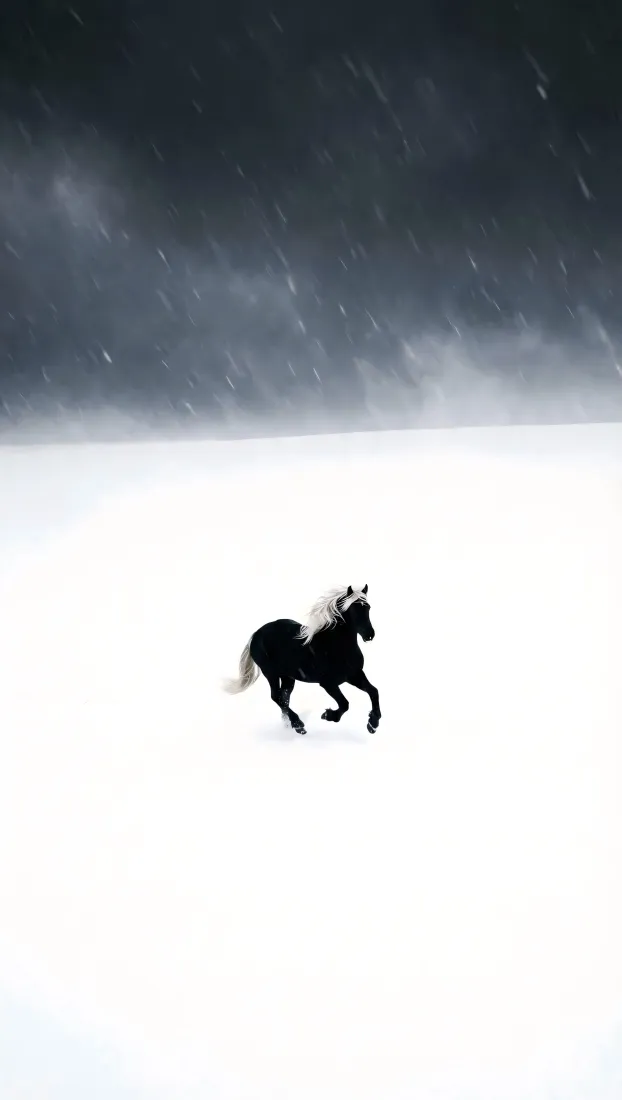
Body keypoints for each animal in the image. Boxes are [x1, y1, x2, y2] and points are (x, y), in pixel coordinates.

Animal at [224, 584, 381, 735]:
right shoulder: (328, 683)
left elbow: (374, 691)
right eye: (353, 609)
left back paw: (291, 725)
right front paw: (328, 715)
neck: (336, 646)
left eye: (368, 607)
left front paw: (373, 724)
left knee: (284, 697)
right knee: (276, 697)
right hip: (270, 673)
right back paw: (298, 724)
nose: (369, 634)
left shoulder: (355, 675)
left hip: (288, 677)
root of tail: (255, 634)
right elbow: (344, 703)